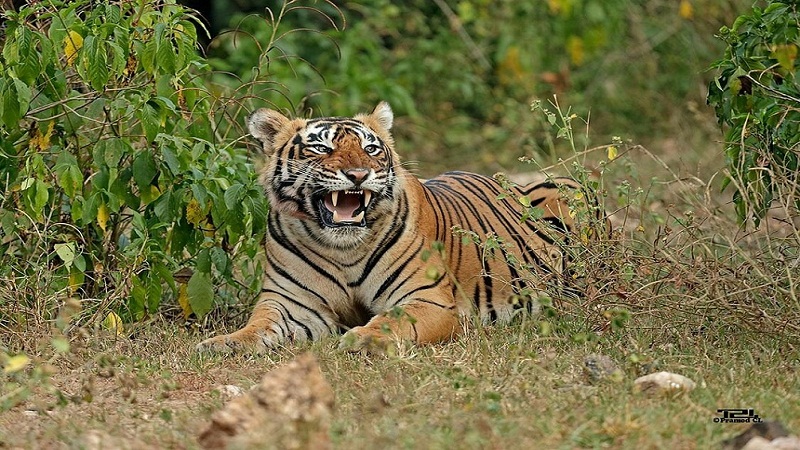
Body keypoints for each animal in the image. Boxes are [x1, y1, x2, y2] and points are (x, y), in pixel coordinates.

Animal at [197, 103, 604, 354]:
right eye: (321, 149)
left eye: (371, 149)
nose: (358, 174)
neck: (340, 248)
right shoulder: (290, 304)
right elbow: (258, 326)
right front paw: (224, 343)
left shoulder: (427, 299)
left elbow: (392, 321)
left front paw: (361, 339)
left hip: (563, 190)